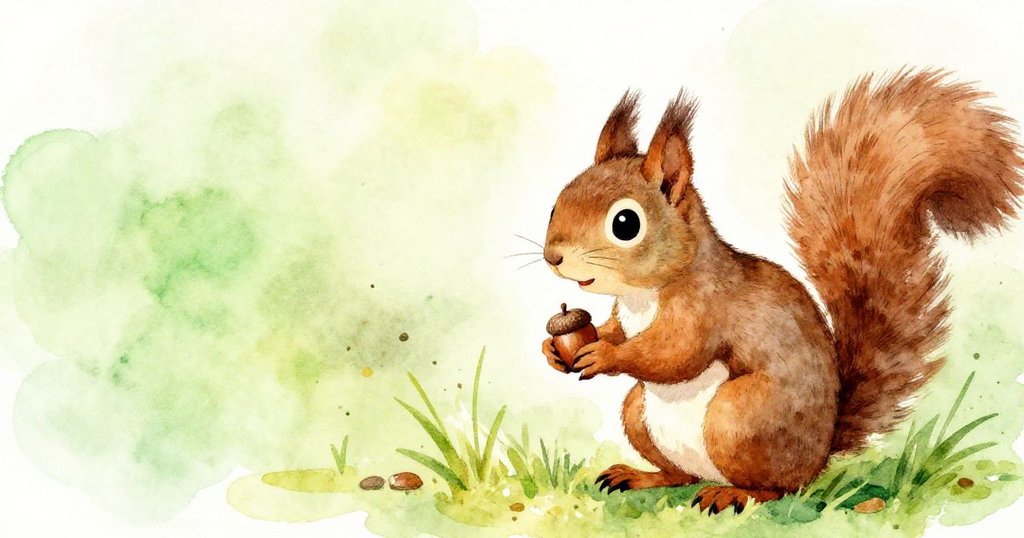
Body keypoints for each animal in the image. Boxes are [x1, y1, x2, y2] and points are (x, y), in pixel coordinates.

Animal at [539, 69, 1024, 514]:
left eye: (626, 223)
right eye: (556, 202)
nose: (553, 256)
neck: (645, 295)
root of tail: (820, 454)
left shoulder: (705, 309)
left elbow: (673, 354)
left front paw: (605, 356)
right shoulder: (626, 315)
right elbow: (616, 331)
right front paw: (556, 349)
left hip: (739, 418)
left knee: (777, 488)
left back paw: (732, 494)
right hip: (639, 414)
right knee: (681, 473)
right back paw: (642, 476)